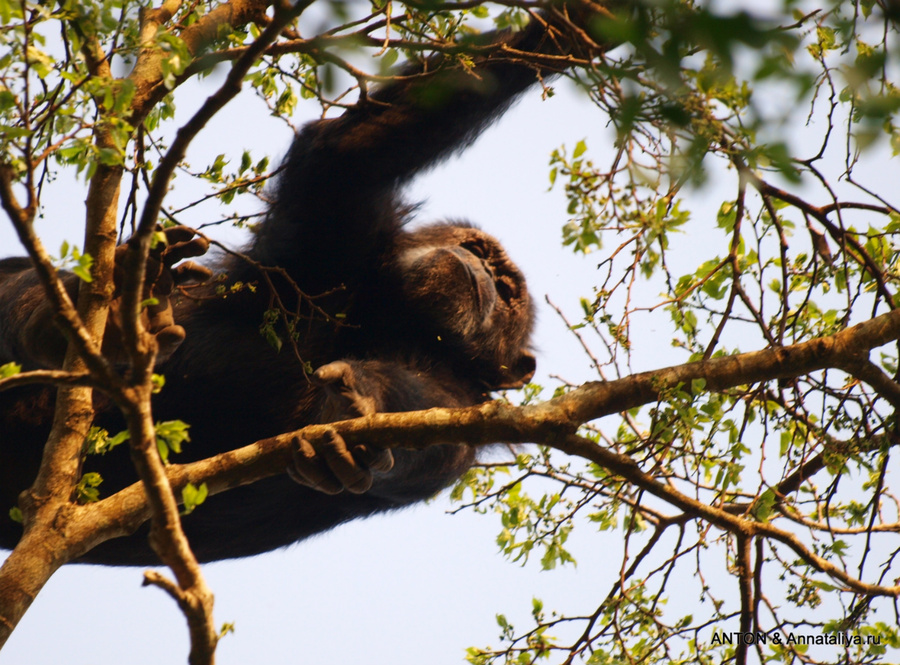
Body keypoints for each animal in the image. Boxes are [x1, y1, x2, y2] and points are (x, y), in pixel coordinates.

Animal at [0, 7, 596, 564]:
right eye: (480, 251)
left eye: (508, 291)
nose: (484, 274)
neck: (394, 318)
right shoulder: (330, 240)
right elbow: (354, 149)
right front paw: (575, 25)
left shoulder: (460, 418)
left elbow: (415, 436)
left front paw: (359, 403)